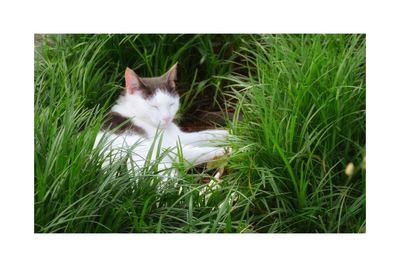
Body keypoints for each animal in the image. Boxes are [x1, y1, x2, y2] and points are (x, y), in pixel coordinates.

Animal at [95, 61, 230, 177]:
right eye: (154, 106)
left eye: (171, 104)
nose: (167, 117)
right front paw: (231, 142)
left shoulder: (179, 137)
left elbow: (206, 134)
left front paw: (229, 133)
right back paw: (228, 151)